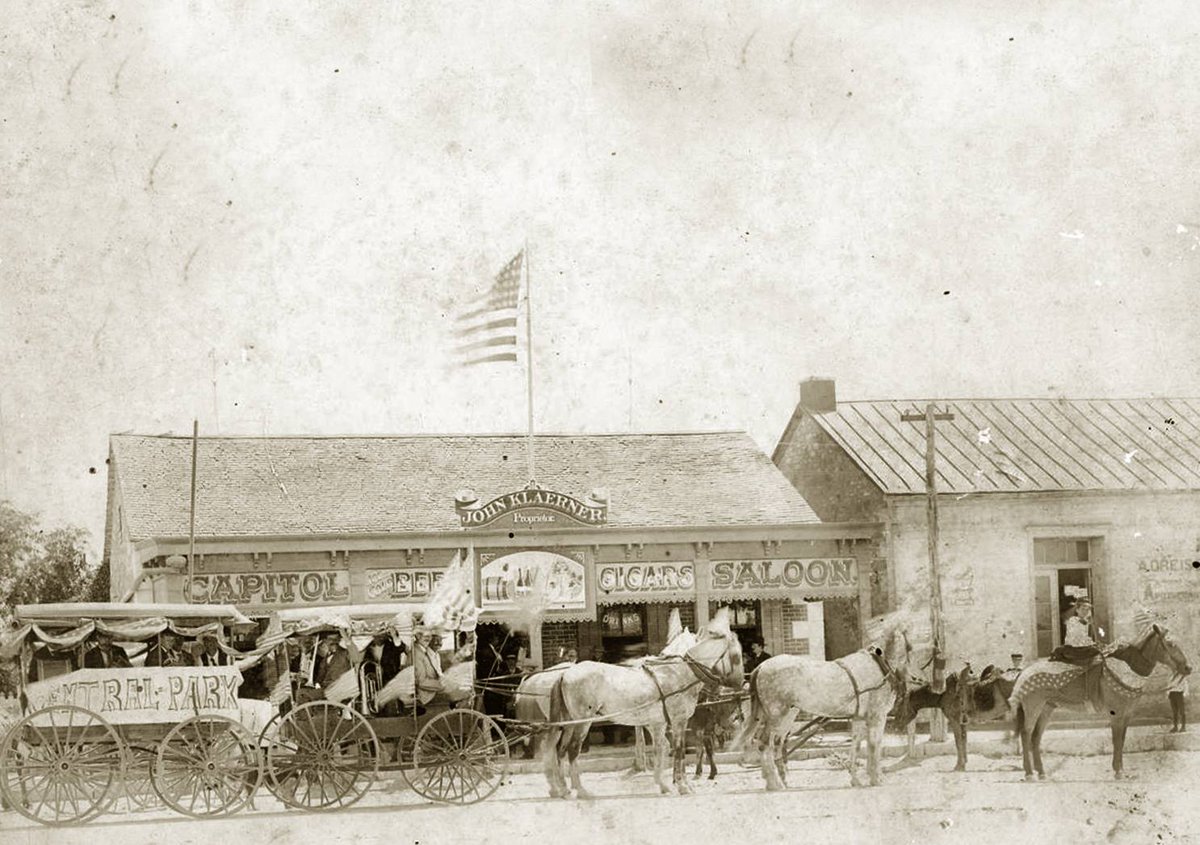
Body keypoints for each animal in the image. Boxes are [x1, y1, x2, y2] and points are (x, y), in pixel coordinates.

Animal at [729, 609, 907, 787]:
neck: (878, 664)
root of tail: (761, 666)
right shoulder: (878, 716)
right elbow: (875, 745)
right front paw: (876, 778)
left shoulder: (860, 717)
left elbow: (857, 745)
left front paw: (856, 779)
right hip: (776, 715)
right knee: (765, 744)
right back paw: (776, 784)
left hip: (785, 715)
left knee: (778, 743)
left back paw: (779, 780)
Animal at [1012, 619, 1190, 777]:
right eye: (1171, 644)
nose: (1188, 668)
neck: (1128, 668)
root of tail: (1024, 672)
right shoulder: (1116, 715)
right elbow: (1116, 741)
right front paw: (1118, 772)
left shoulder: (1127, 715)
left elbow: (1122, 740)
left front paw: (1120, 769)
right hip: (1033, 707)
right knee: (1026, 733)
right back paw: (1029, 773)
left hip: (1046, 707)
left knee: (1036, 736)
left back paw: (1041, 772)